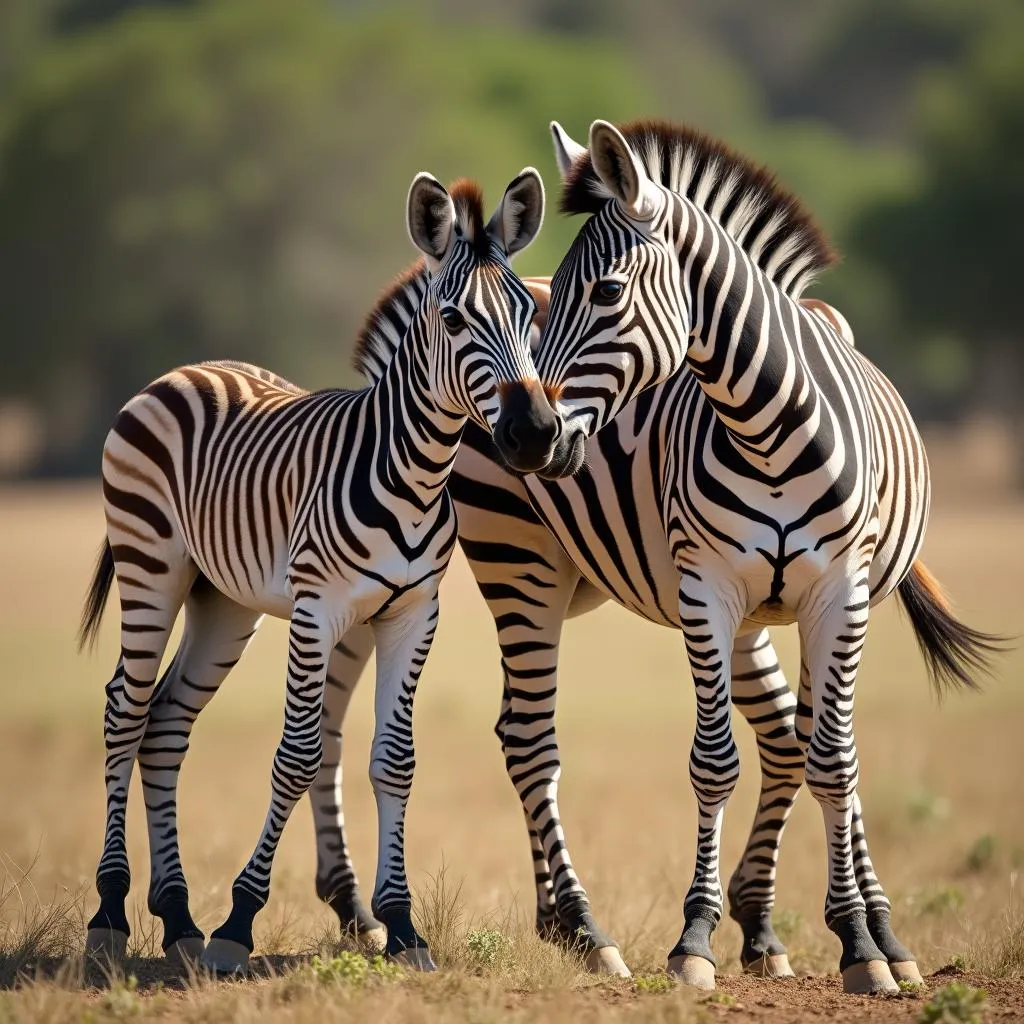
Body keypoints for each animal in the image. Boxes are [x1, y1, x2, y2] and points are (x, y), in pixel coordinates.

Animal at [76, 167, 561, 974]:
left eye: (530, 317)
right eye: (455, 319)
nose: (535, 434)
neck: (414, 473)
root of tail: (187, 368)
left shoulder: (412, 613)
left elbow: (395, 760)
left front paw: (401, 926)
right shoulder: (316, 610)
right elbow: (299, 755)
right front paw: (240, 921)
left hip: (224, 603)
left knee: (167, 724)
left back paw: (176, 917)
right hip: (151, 566)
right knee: (124, 710)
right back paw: (111, 912)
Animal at [532, 119, 1003, 991]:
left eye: (606, 293)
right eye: (556, 303)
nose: (524, 432)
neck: (767, 428)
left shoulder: (838, 591)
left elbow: (835, 764)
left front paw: (859, 946)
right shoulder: (707, 589)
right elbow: (714, 761)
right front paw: (694, 940)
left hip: (815, 610)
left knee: (823, 744)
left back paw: (873, 931)